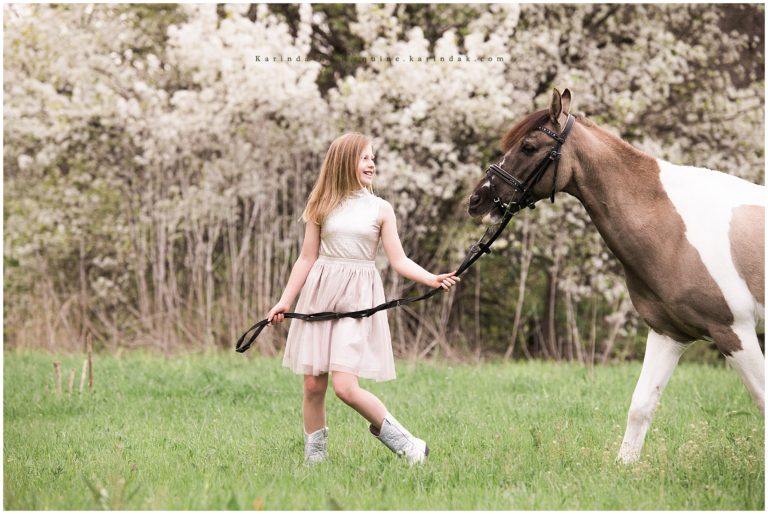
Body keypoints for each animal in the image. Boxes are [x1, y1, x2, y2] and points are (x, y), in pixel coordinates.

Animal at [467, 88, 765, 464]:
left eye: (529, 147)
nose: (477, 199)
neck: (673, 228)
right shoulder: (670, 333)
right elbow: (640, 406)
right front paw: (625, 466)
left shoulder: (734, 331)